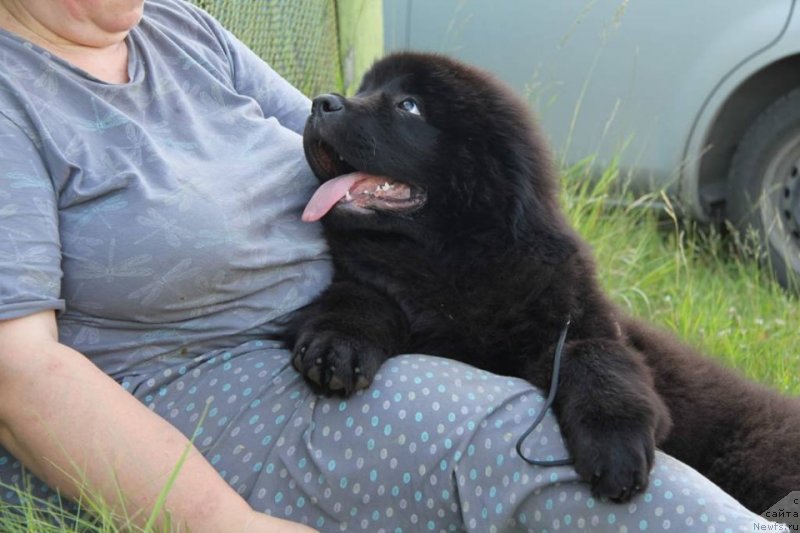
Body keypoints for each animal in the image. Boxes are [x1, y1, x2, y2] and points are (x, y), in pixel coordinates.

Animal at [290, 51, 800, 512]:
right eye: (364, 89)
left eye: (408, 106)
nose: (321, 103)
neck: (452, 263)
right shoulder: (382, 286)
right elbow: (360, 296)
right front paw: (338, 343)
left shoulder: (577, 317)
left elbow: (595, 357)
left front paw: (615, 445)